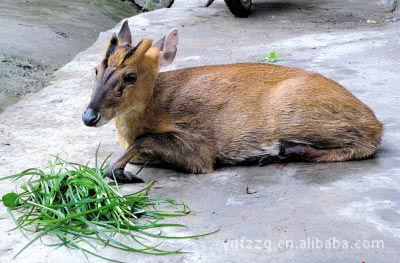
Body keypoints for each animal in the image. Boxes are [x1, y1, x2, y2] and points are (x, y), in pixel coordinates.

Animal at [83, 21, 382, 184]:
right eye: (96, 70)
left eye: (130, 76)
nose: (89, 117)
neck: (155, 106)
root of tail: (376, 122)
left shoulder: (197, 145)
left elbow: (144, 142)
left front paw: (120, 171)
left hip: (298, 115)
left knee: (362, 145)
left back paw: (278, 152)